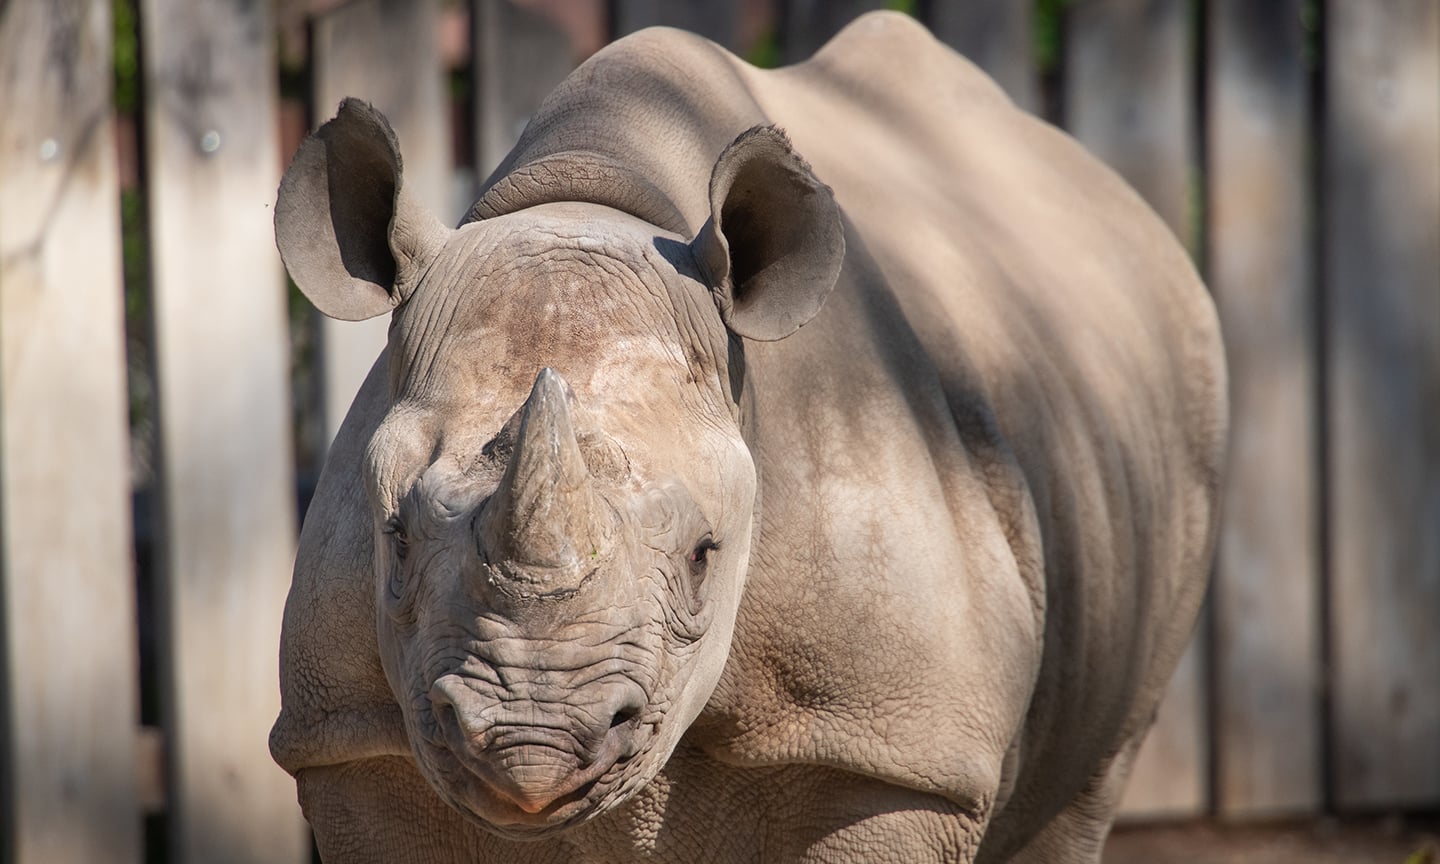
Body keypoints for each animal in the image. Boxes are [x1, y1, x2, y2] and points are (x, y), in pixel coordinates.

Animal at [269, 12, 1226, 863]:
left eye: (705, 555)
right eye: (393, 539)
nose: (529, 747)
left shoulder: (893, 754)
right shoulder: (351, 736)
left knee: (1085, 790)